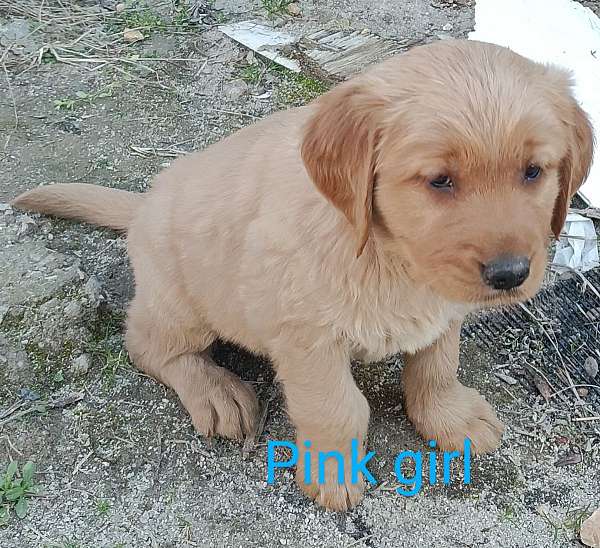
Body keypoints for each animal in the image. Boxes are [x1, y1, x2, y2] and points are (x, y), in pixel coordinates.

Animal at [11, 40, 592, 512]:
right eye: (439, 180)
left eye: (534, 172)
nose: (510, 274)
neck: (388, 254)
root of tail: (142, 206)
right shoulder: (306, 339)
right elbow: (336, 409)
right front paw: (332, 475)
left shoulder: (444, 309)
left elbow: (435, 368)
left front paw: (449, 418)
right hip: (182, 305)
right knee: (146, 344)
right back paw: (217, 392)